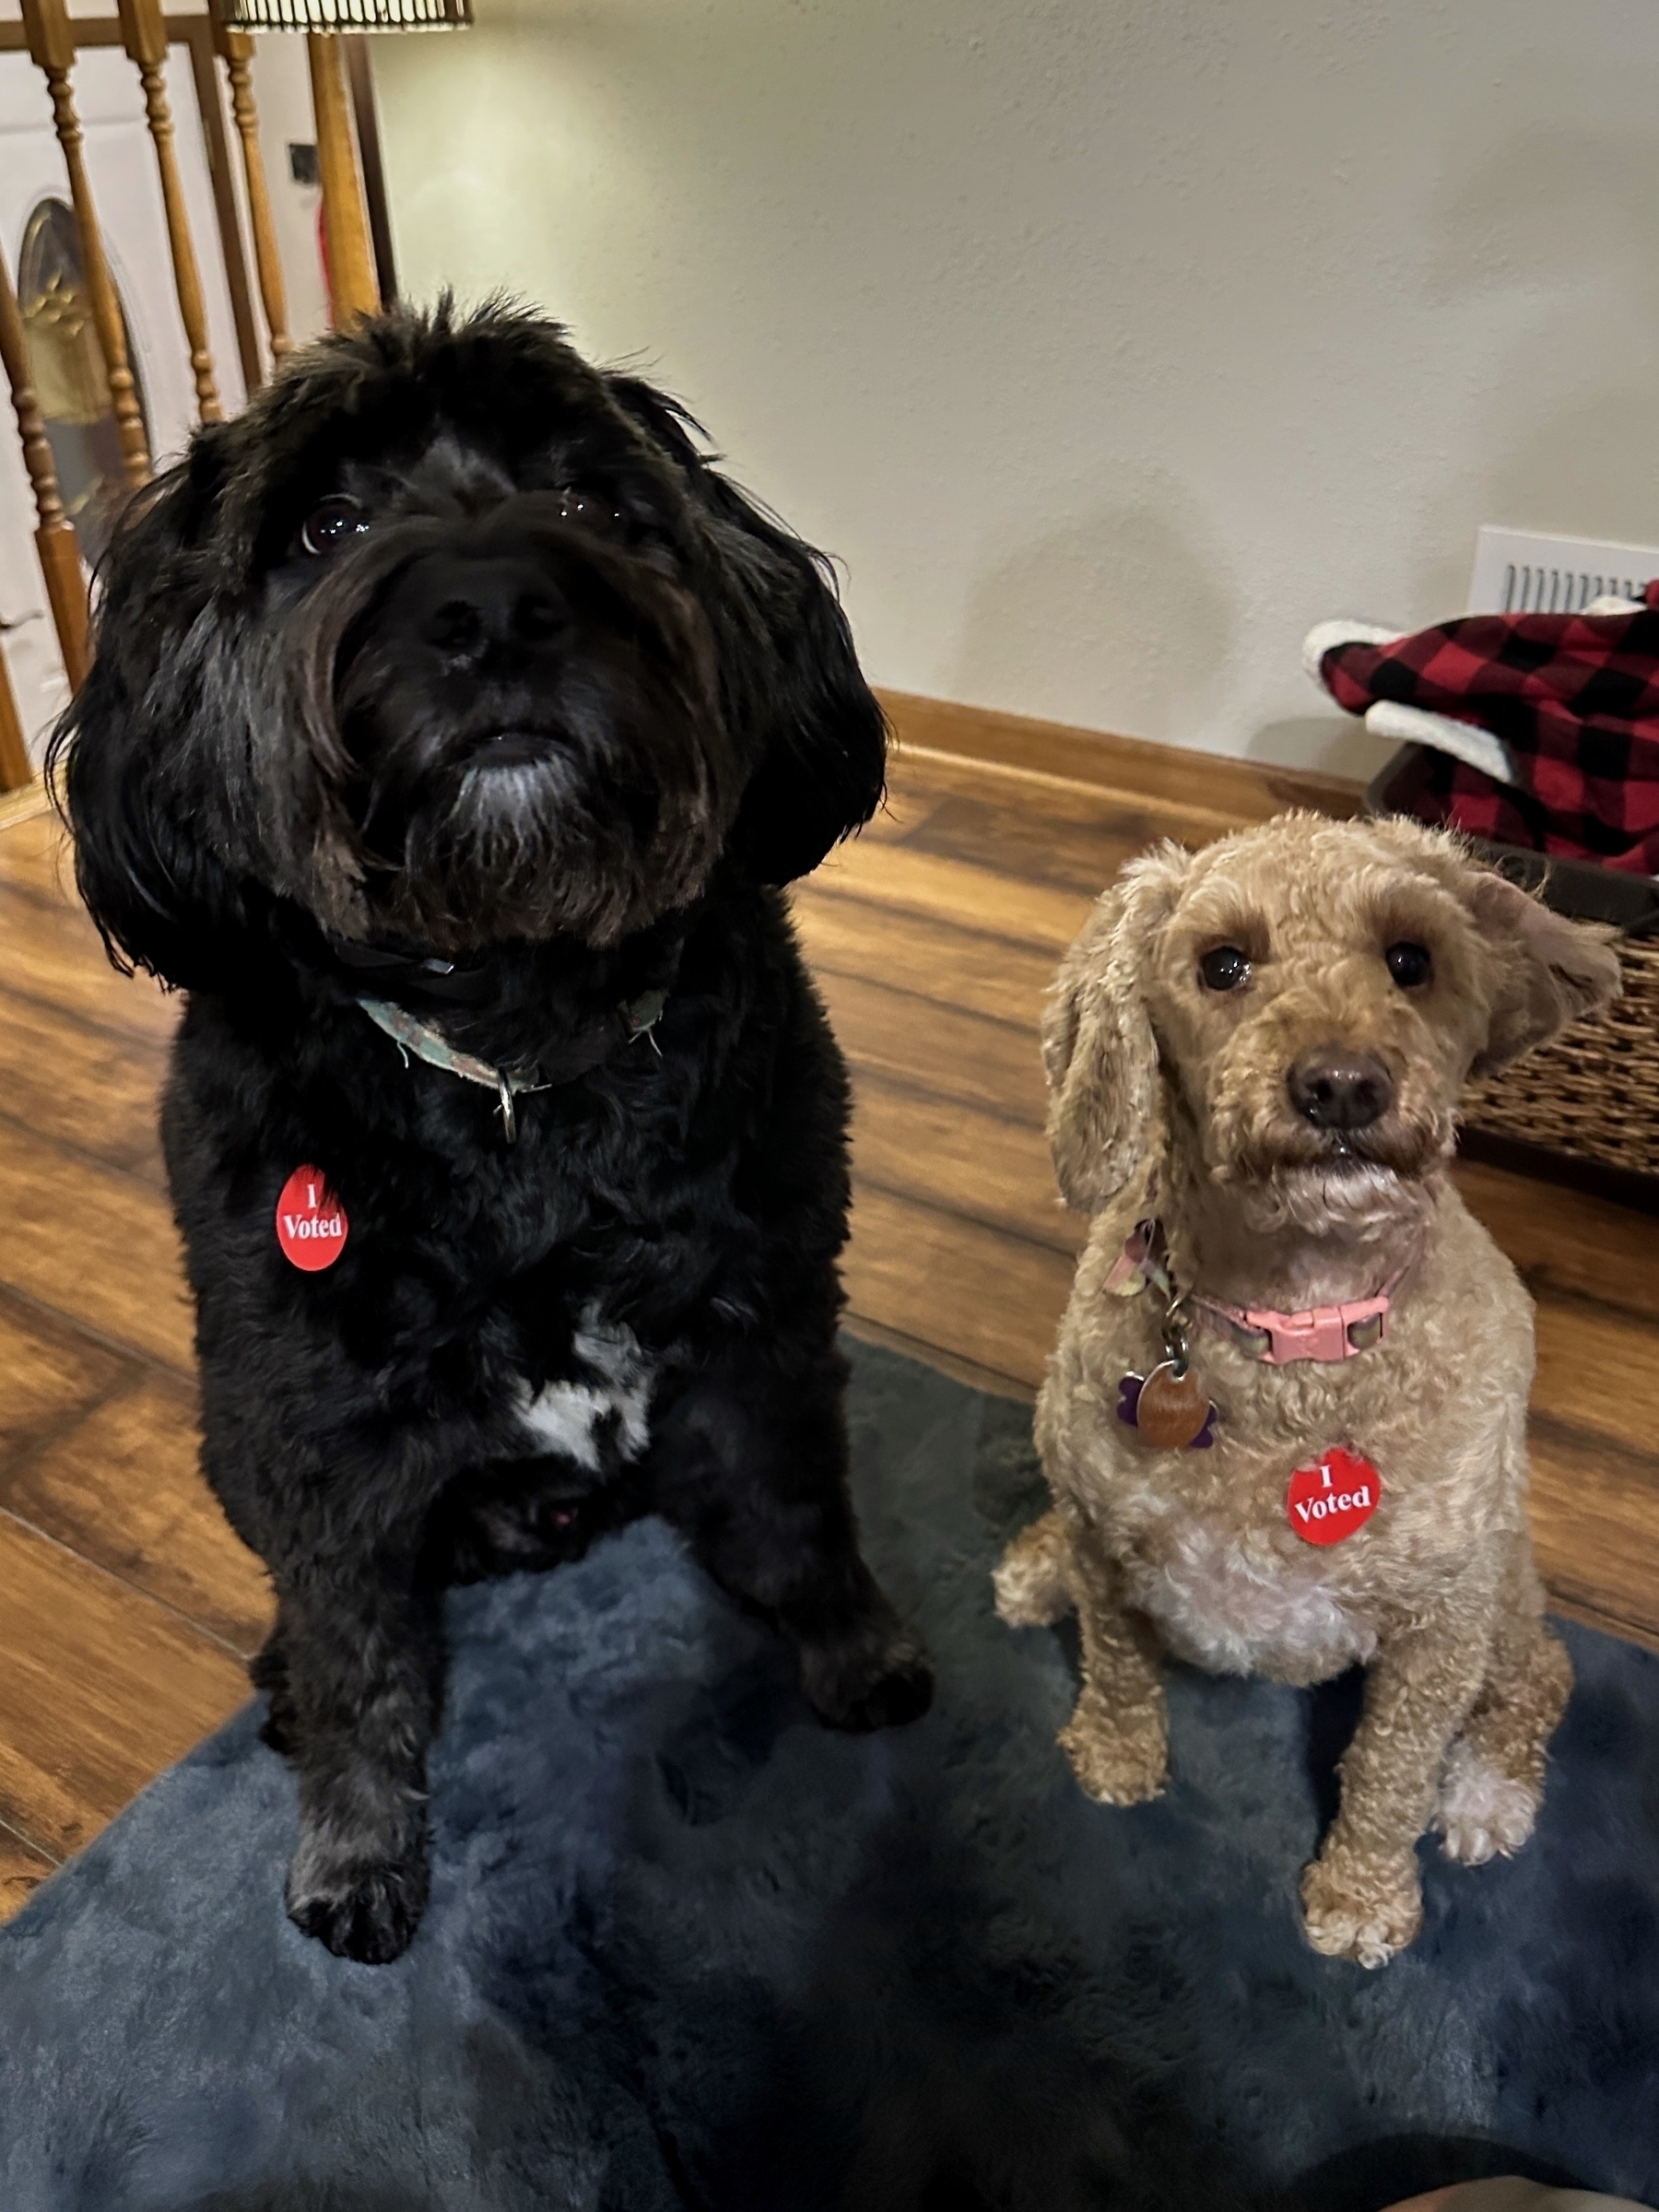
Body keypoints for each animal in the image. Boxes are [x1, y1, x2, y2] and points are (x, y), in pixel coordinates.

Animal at [52, 302, 937, 1964]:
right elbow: (357, 1658)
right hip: (227, 1441)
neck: (520, 1066)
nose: (496, 609)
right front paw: (356, 1849)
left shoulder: (768, 1328)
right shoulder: (314, 1437)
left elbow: (801, 1507)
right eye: (323, 527)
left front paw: (853, 1649)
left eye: (592, 497)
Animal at [999, 814, 1628, 1972]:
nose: (1342, 1085)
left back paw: (1486, 1794)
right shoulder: (1108, 1533)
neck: (1294, 1333)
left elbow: (1389, 1768)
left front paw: (1362, 1897)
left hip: (1508, 1589)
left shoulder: (1441, 1622)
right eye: (1222, 965)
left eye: (1411, 960)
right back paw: (1035, 1564)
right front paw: (1115, 1757)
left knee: (1541, 1676)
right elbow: (1116, 1661)